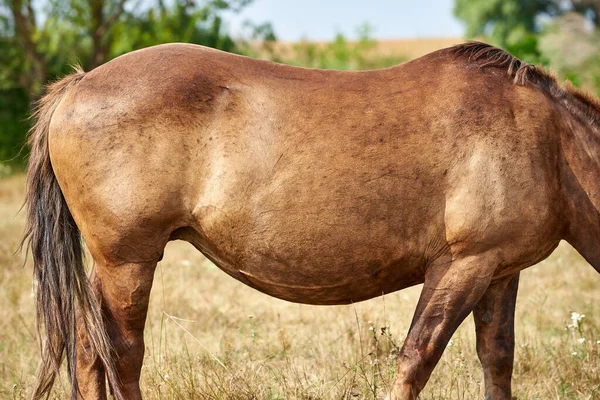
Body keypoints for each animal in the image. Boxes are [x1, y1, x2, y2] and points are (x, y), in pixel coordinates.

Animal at [21, 42, 600, 398]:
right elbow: (417, 358)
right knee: (119, 355)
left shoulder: (500, 272)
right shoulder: (463, 265)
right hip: (128, 261)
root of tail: (76, 87)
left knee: (89, 352)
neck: (550, 144)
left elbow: (496, 361)